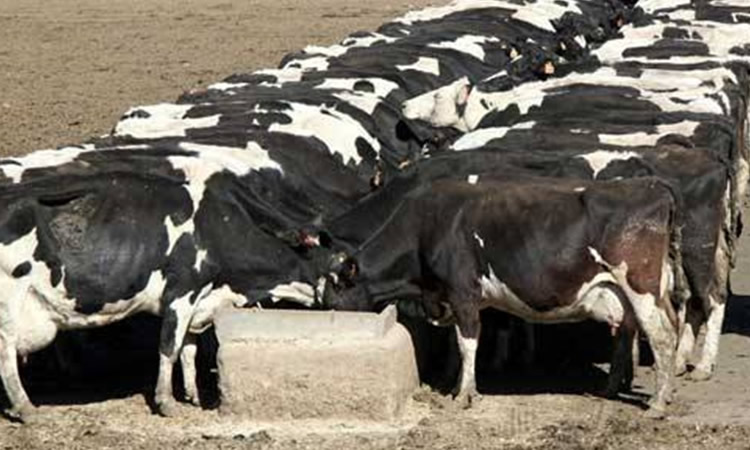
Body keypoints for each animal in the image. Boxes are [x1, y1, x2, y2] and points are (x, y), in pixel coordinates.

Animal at [320, 176, 684, 418]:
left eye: (334, 294)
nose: (329, 317)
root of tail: (655, 188)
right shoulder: (455, 299)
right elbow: (457, 344)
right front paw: (455, 386)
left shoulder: (463, 293)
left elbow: (468, 344)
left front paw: (466, 395)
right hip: (639, 291)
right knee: (646, 329)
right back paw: (622, 391)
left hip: (641, 285)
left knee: (663, 336)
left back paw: (657, 403)